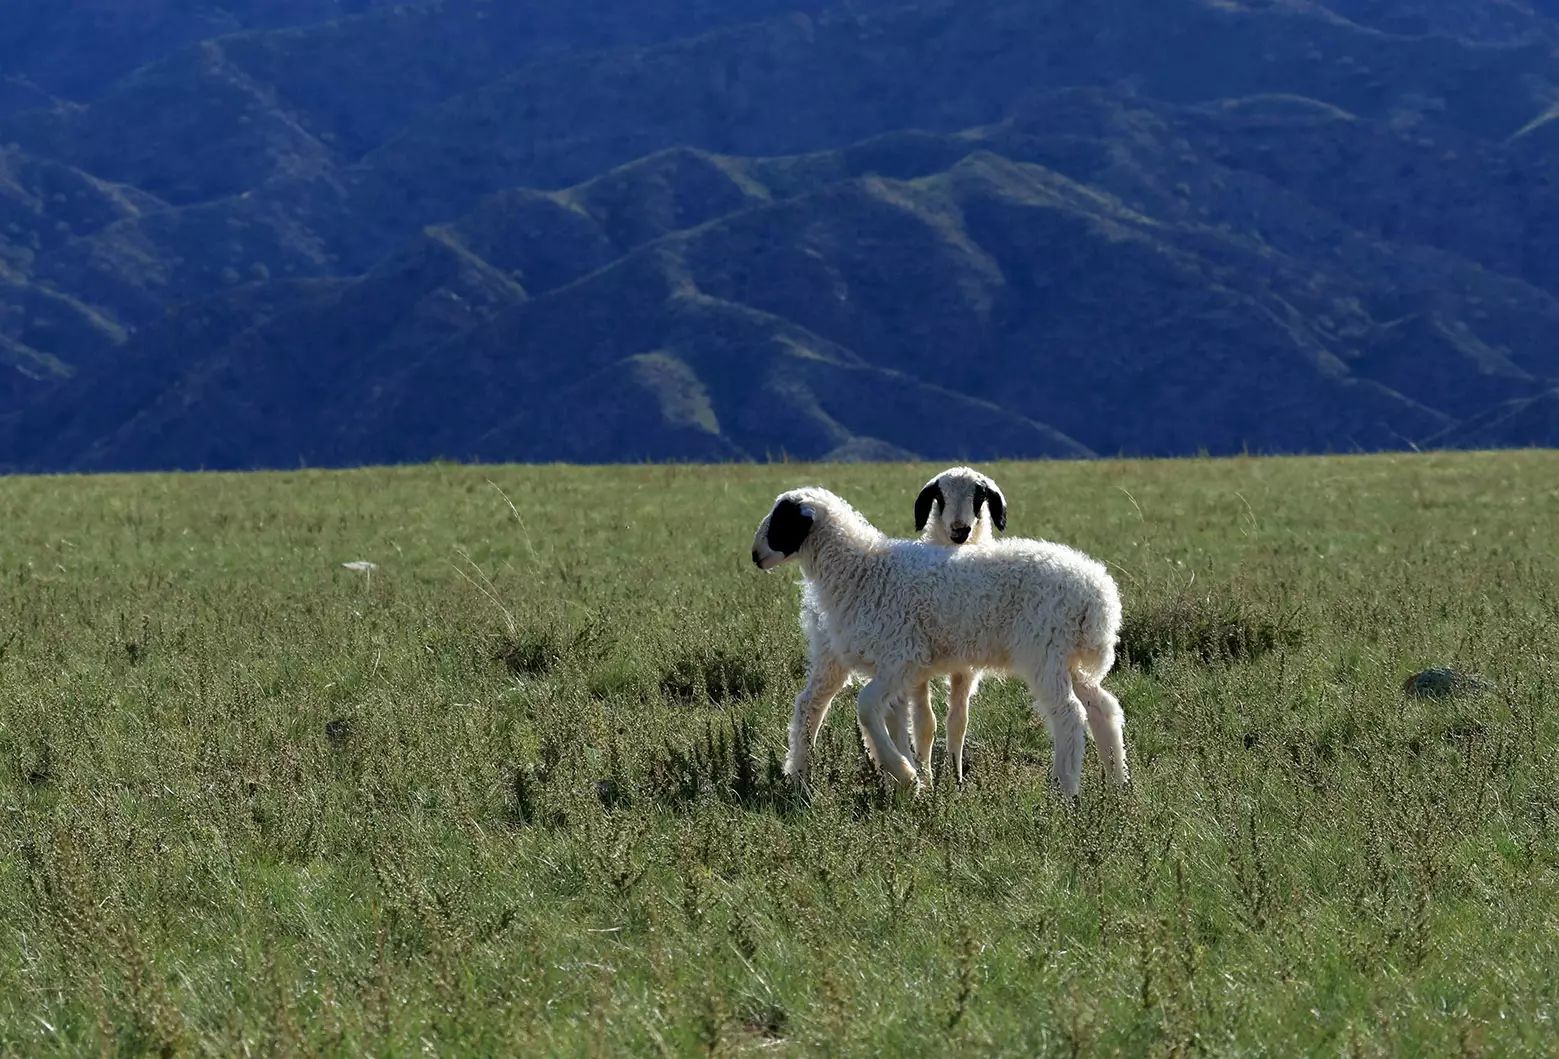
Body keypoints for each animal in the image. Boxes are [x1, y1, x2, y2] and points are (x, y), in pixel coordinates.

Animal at [751, 489, 1128, 795]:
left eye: (782, 520)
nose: (755, 555)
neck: (863, 571)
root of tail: (1098, 593)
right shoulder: (888, 664)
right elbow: (891, 718)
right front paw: (909, 780)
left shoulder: (902, 658)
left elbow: (867, 707)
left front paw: (906, 776)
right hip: (1067, 658)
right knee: (1103, 707)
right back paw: (1117, 788)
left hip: (1044, 652)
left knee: (1070, 715)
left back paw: (1065, 791)